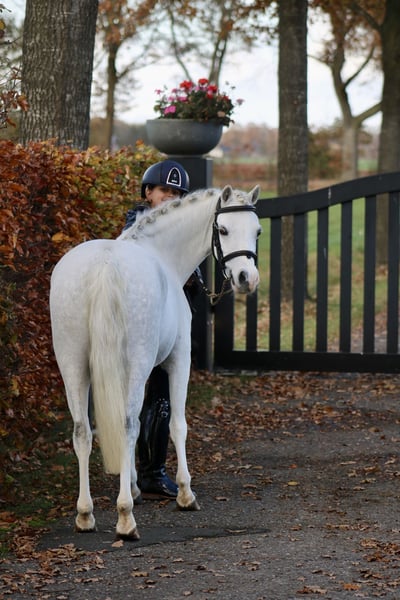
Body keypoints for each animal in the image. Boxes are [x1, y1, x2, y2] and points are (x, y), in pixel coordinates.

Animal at [49, 184, 261, 540]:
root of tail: (104, 266)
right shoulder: (177, 361)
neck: (162, 253)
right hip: (134, 364)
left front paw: (136, 485)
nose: (247, 278)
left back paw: (85, 514)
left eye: (257, 231)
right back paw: (125, 518)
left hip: (73, 366)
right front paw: (185, 493)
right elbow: (175, 424)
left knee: (82, 431)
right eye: (222, 230)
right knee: (127, 425)